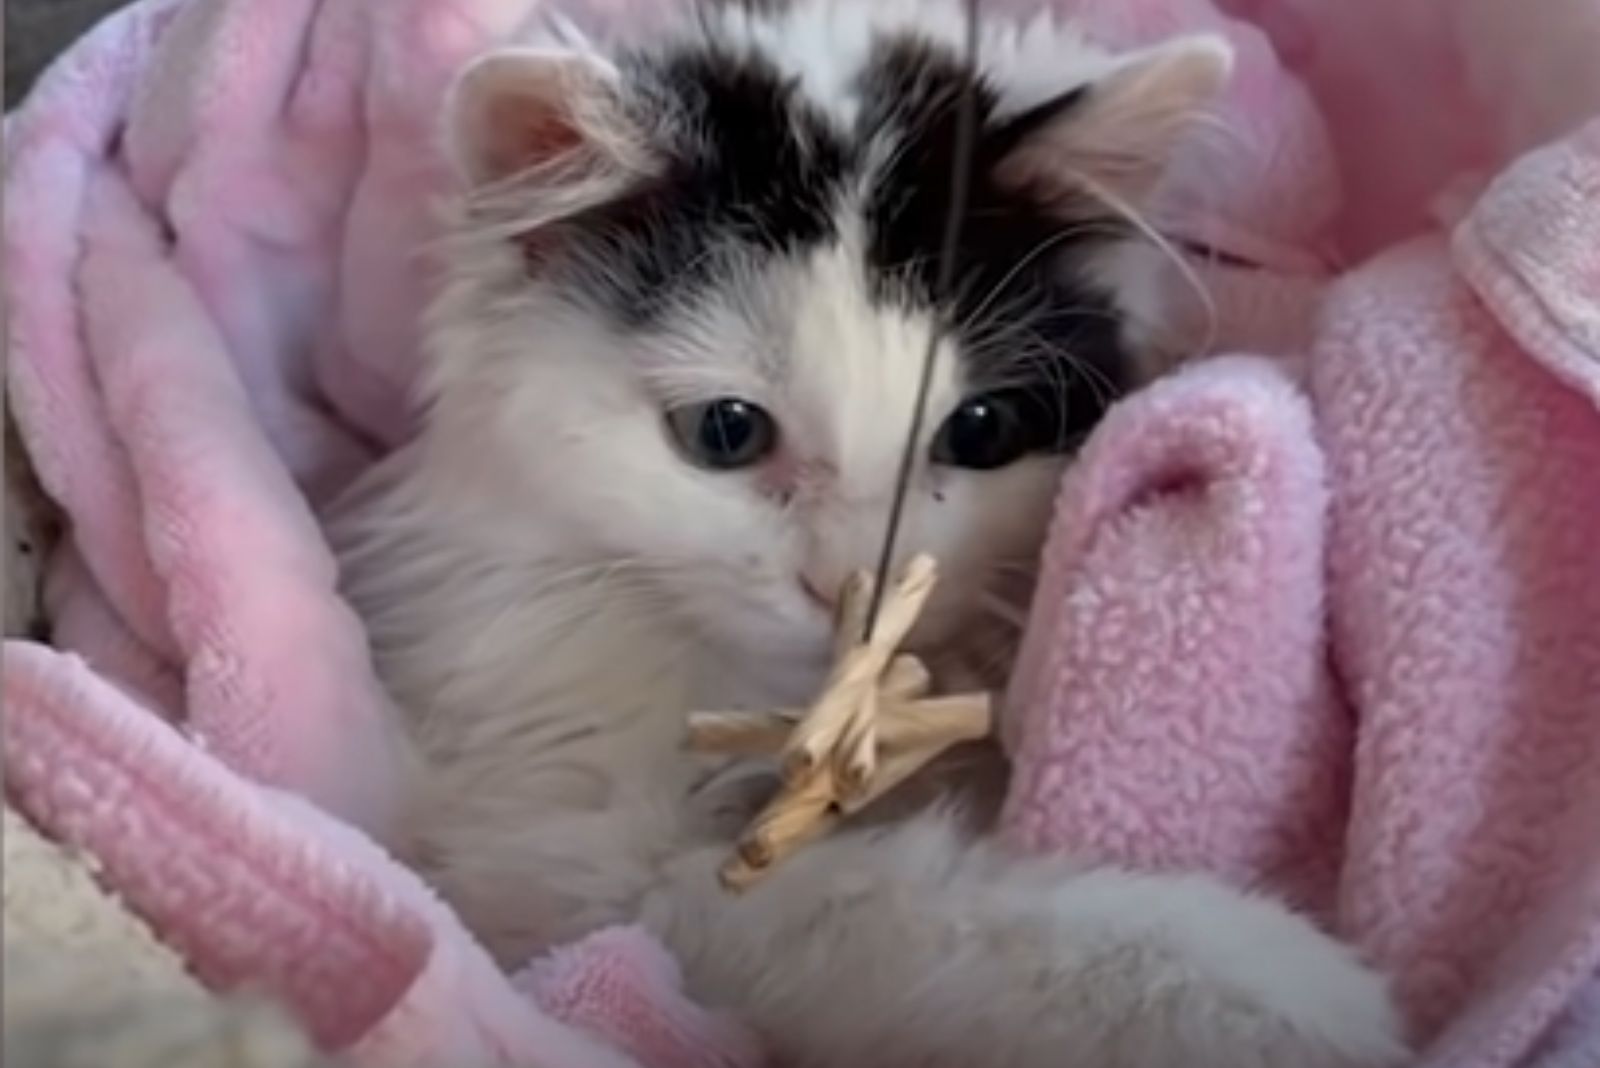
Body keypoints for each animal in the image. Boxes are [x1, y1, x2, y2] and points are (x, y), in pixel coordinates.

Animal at [331, 4, 1408, 1061]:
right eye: (725, 432)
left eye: (979, 431)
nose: (851, 589)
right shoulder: (562, 854)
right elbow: (880, 910)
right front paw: (1274, 989)